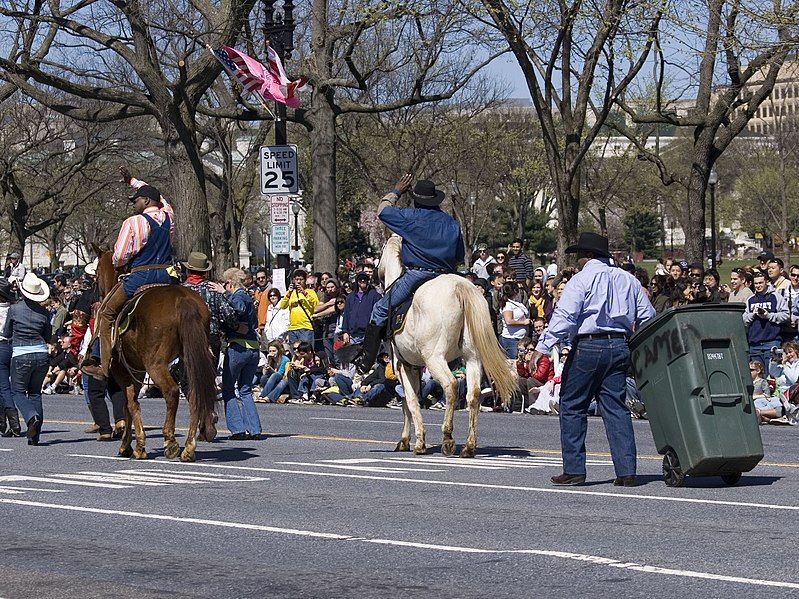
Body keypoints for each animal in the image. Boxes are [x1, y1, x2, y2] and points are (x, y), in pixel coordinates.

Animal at [94, 246, 217, 462]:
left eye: (96, 273)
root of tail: (183, 299)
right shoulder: (137, 370)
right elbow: (130, 403)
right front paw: (131, 444)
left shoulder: (122, 370)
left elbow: (129, 404)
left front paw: (134, 446)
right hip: (189, 361)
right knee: (194, 395)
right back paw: (188, 448)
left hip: (156, 364)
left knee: (172, 392)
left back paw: (171, 442)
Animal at [382, 236, 520, 460]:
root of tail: (459, 287)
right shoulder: (414, 366)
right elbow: (413, 400)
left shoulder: (402, 365)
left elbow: (409, 401)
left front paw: (414, 442)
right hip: (473, 358)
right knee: (473, 395)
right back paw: (469, 446)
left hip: (434, 358)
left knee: (451, 386)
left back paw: (447, 438)